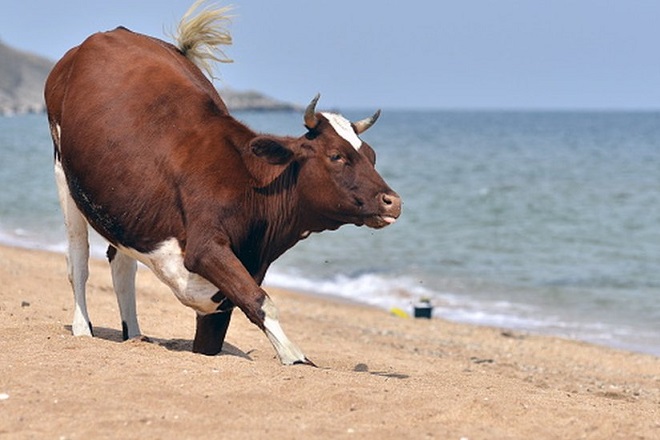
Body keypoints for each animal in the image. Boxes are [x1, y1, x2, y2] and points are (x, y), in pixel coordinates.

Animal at [45, 1, 402, 366]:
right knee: (78, 260)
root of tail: (108, 34)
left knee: (121, 264)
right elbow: (260, 301)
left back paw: (135, 334)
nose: (393, 201)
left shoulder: (219, 299)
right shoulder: (205, 249)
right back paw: (83, 328)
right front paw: (296, 357)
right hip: (63, 172)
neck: (248, 186)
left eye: (371, 156)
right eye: (336, 156)